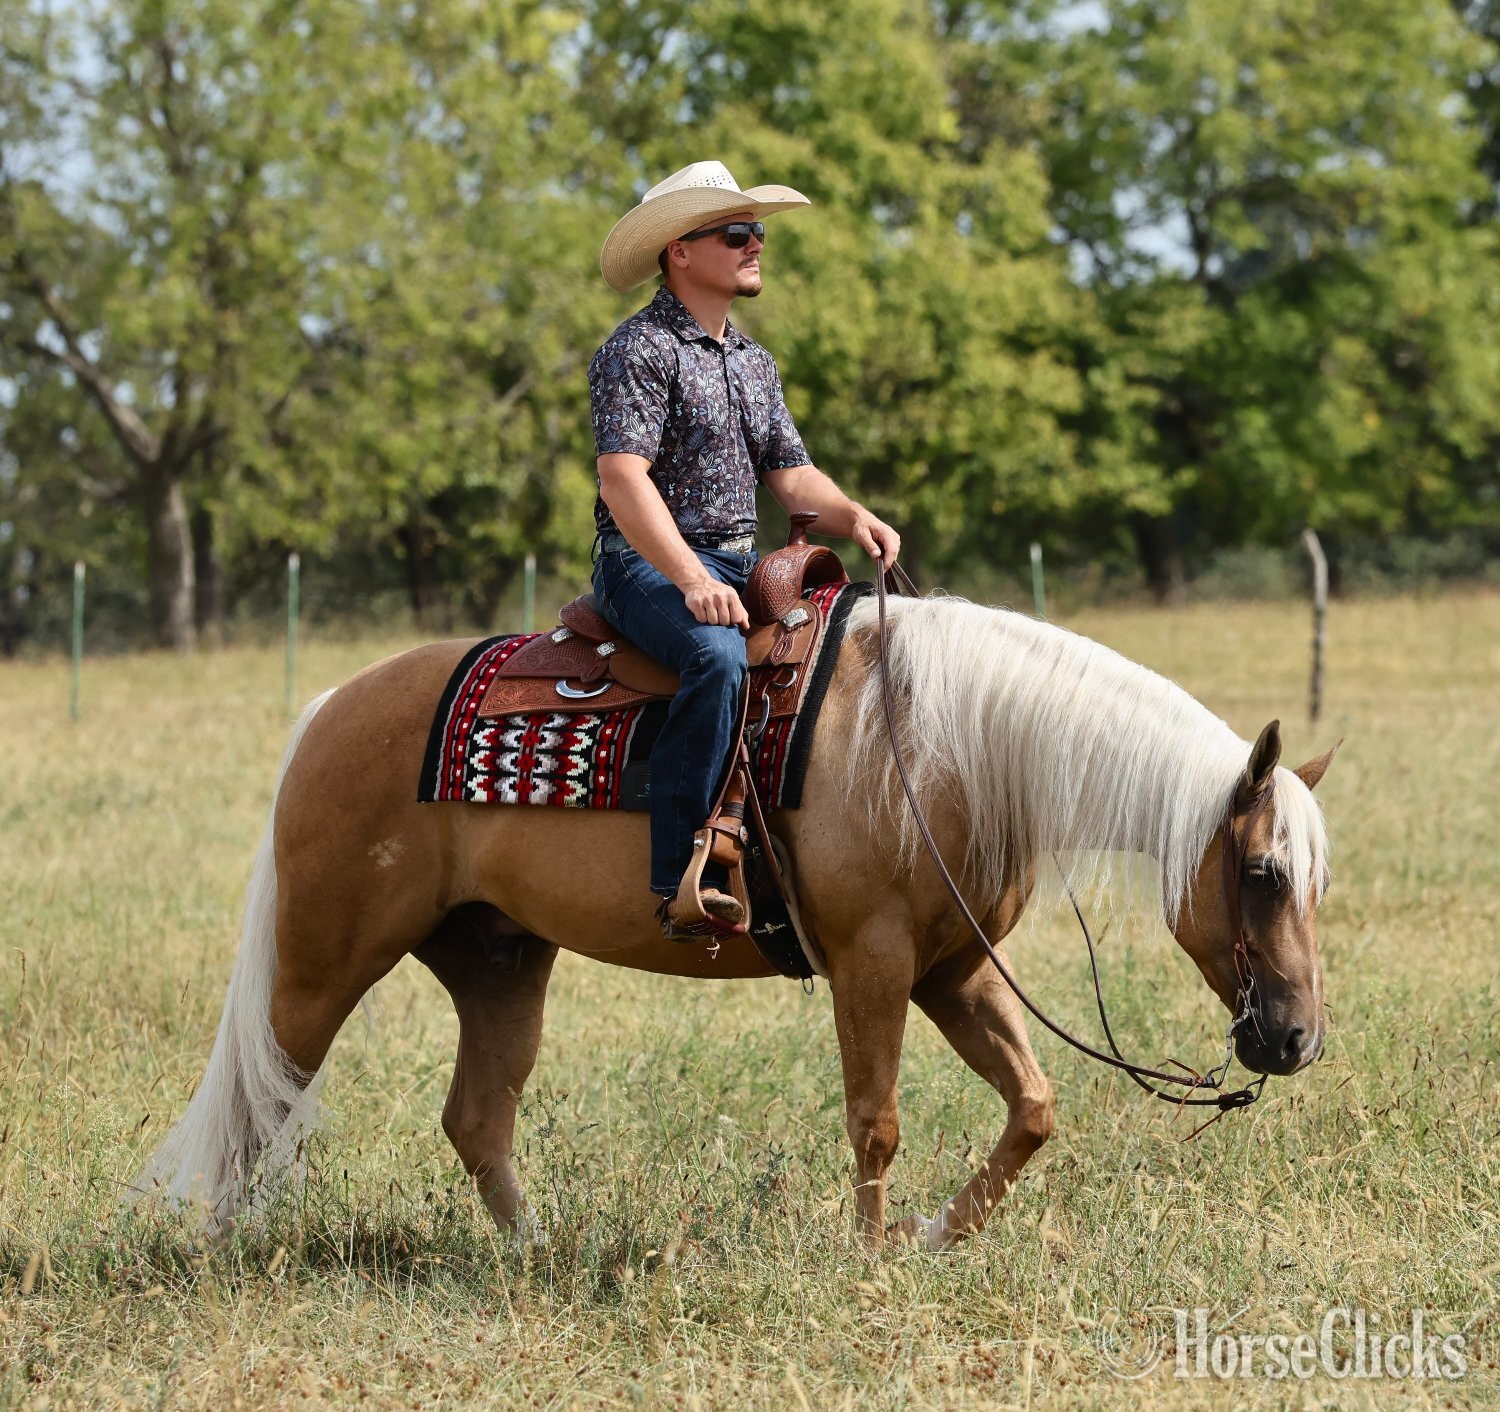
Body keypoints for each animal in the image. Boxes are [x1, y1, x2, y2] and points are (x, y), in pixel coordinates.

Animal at [132, 592, 1336, 1251]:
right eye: (1264, 871)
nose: (1295, 1038)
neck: (940, 741)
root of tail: (330, 709)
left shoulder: (951, 968)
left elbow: (1033, 1106)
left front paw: (928, 1235)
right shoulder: (875, 963)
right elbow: (875, 1119)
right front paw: (868, 1256)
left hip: (499, 960)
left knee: (476, 1118)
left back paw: (536, 1253)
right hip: (322, 963)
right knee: (258, 1099)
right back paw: (219, 1253)